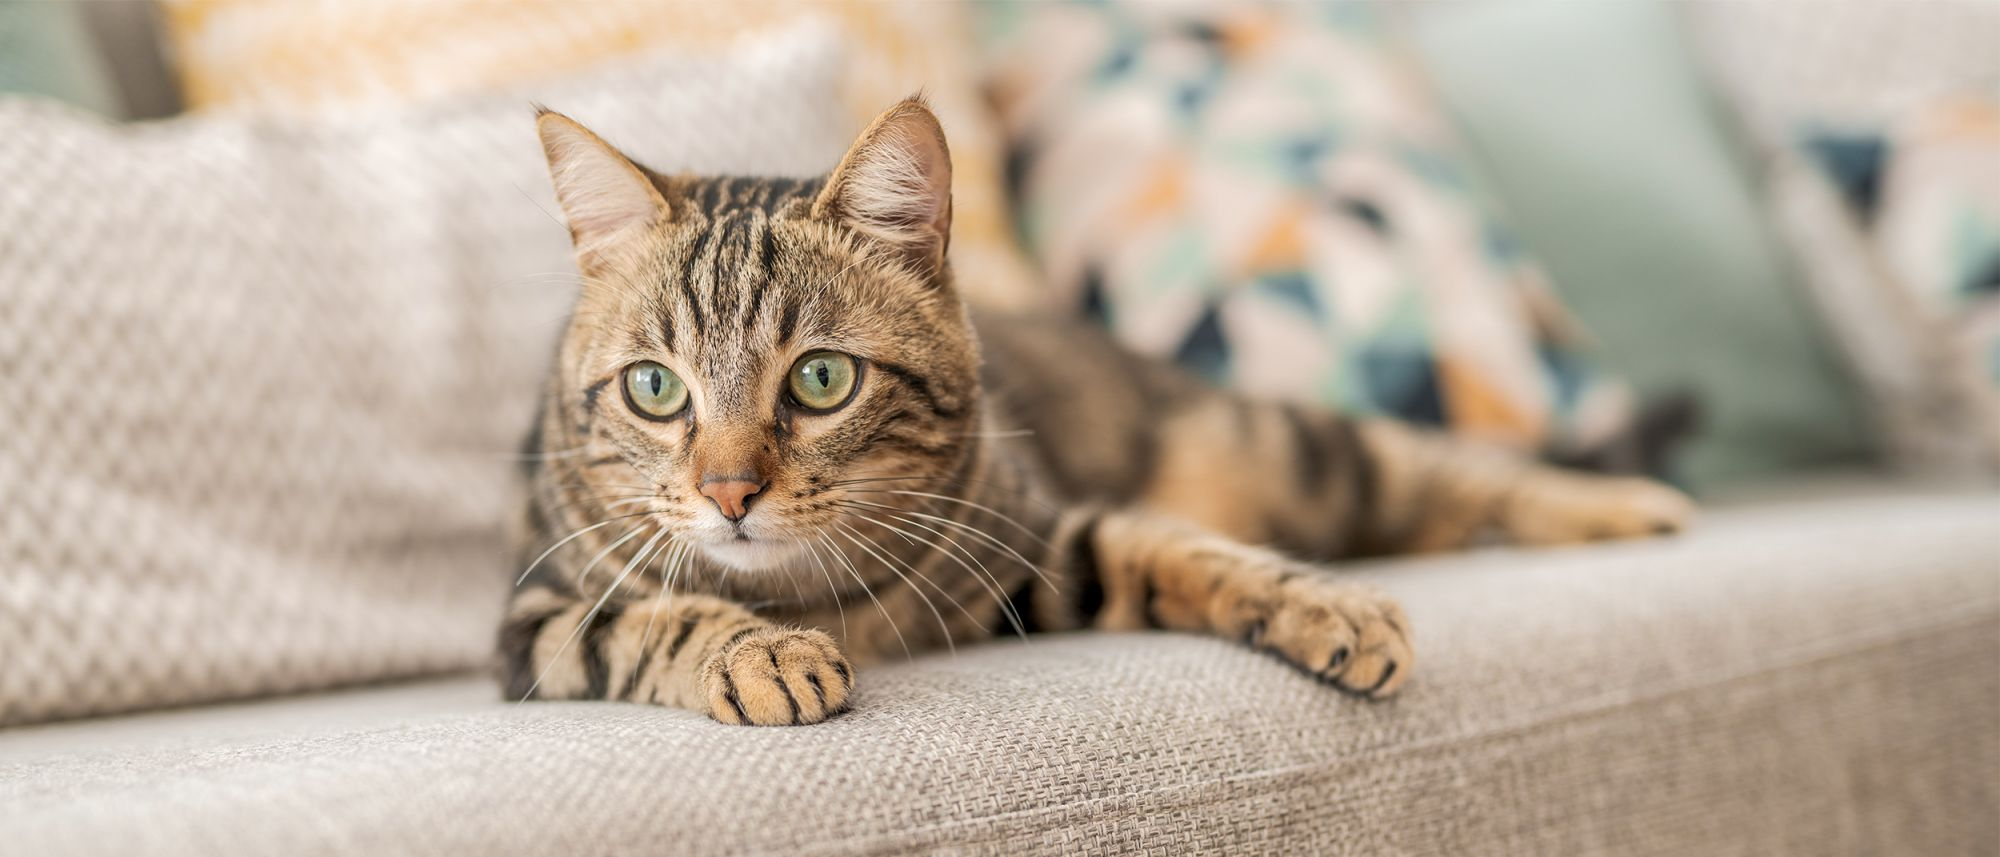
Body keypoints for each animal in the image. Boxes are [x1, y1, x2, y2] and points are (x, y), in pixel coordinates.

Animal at [496, 97, 1688, 724]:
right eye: (655, 388)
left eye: (821, 380)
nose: (728, 491)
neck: (810, 591)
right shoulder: (535, 622)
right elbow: (656, 616)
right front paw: (761, 654)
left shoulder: (1040, 542)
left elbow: (1179, 548)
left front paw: (1323, 605)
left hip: (1291, 445)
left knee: (1451, 469)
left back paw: (1621, 504)